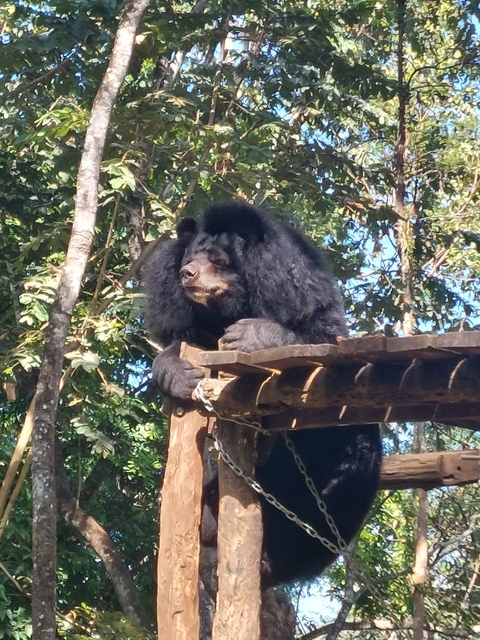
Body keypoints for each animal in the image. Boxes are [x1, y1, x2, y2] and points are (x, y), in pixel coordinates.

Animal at [143, 201, 382, 587]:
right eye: (190, 257)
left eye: (218, 259)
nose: (186, 273)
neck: (233, 307)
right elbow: (183, 342)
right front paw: (177, 372)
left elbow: (316, 335)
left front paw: (247, 336)